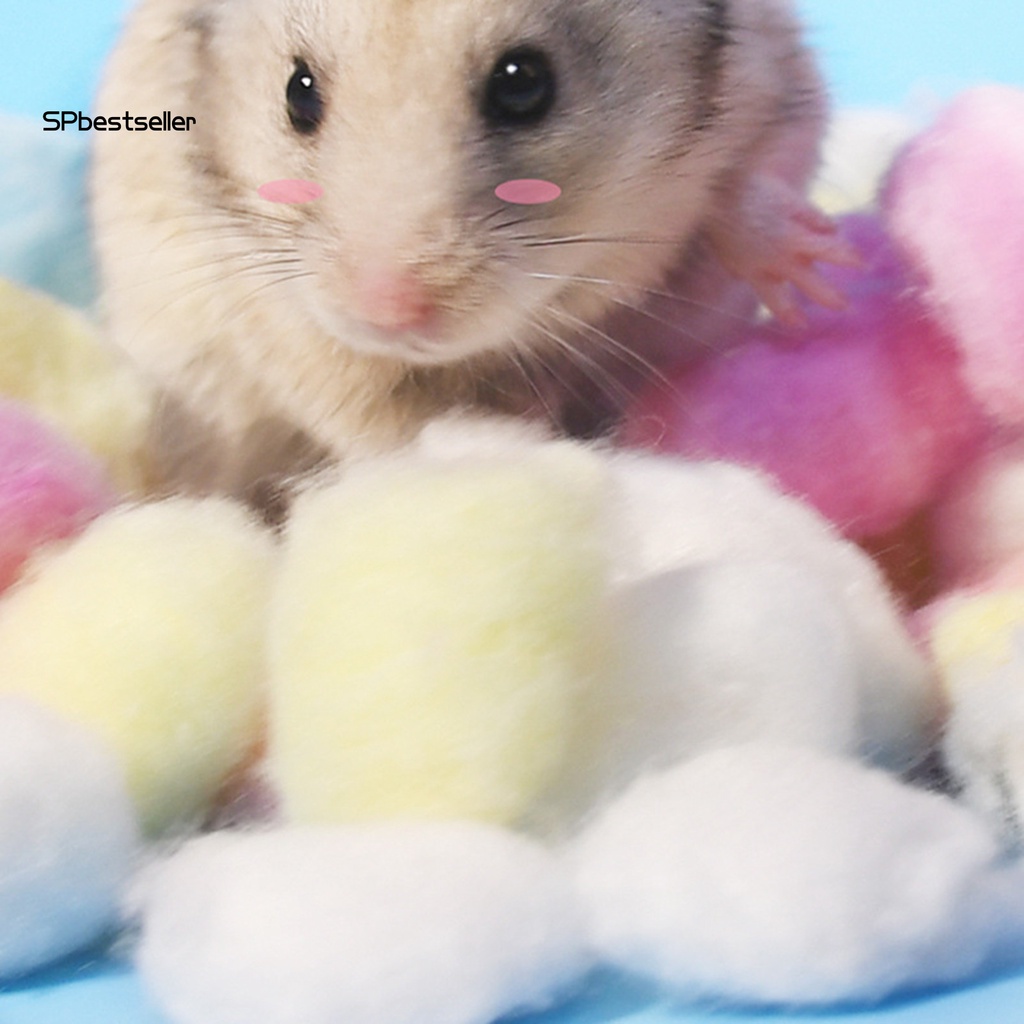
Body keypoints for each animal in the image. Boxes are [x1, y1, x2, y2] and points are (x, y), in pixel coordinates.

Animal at [91, 0, 851, 501]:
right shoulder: (279, 314)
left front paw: (822, 276)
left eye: (524, 82)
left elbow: (749, 182)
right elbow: (375, 419)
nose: (386, 314)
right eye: (297, 92)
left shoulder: (777, 81)